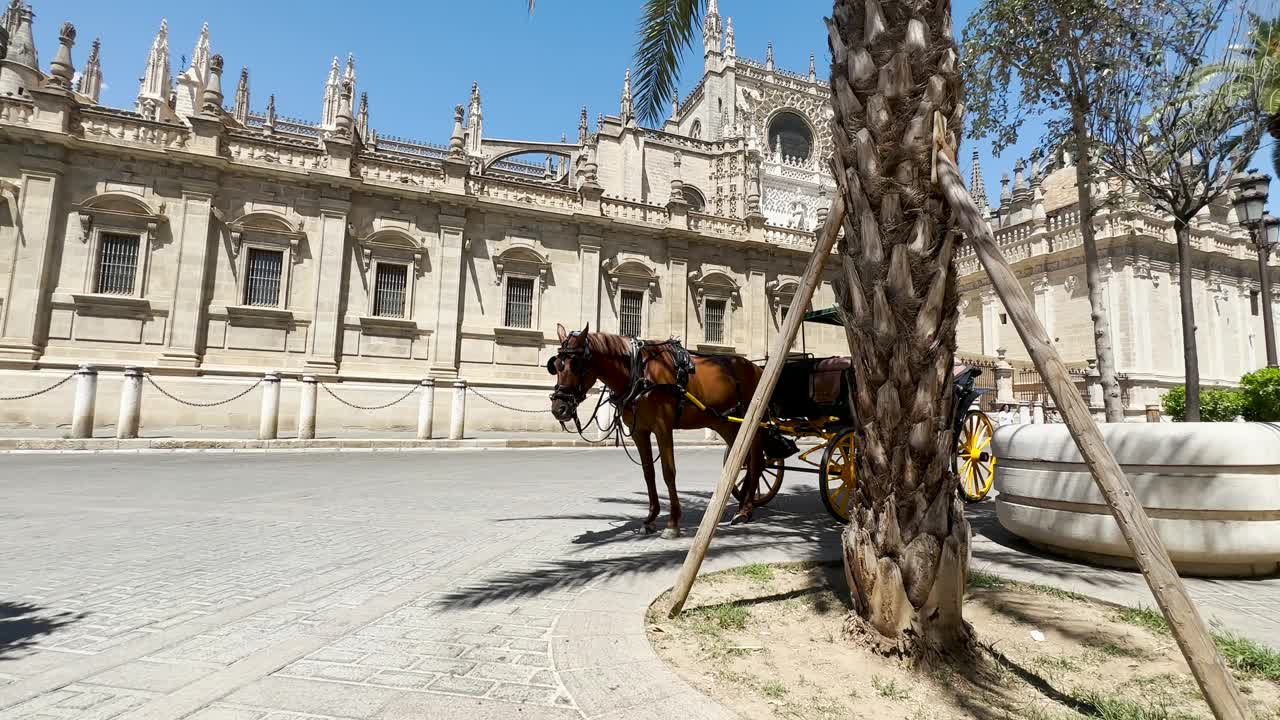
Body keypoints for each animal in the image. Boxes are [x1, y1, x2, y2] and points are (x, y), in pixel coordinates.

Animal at [545, 322, 762, 535]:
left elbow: (668, 472)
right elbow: (648, 472)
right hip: (724, 424)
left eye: (576, 365)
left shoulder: (663, 427)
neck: (640, 372)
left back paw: (745, 509)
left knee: (753, 461)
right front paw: (650, 518)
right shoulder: (639, 432)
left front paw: (673, 522)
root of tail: (755, 367)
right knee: (742, 459)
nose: (559, 408)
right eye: (555, 366)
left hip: (747, 422)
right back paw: (743, 504)